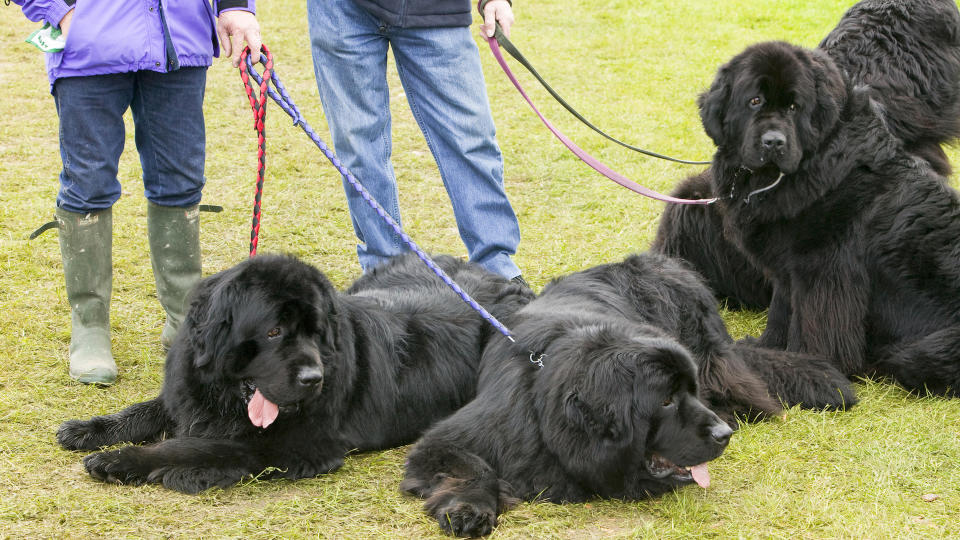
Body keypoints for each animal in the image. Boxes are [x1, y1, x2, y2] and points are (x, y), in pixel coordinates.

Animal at [54, 253, 532, 494]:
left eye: (317, 332)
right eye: (273, 331)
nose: (312, 380)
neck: (228, 396)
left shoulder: (290, 444)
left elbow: (192, 446)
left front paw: (123, 460)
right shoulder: (189, 390)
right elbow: (146, 410)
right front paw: (88, 430)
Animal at [402, 252, 852, 536]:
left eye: (688, 392)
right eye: (665, 401)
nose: (724, 435)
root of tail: (665, 263)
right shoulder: (462, 434)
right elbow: (470, 464)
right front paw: (468, 511)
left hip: (707, 348)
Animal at [656, 3, 960, 396]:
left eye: (794, 107)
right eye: (754, 101)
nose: (773, 142)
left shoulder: (822, 270)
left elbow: (812, 324)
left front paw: (806, 364)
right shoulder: (789, 268)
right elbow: (781, 312)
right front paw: (770, 348)